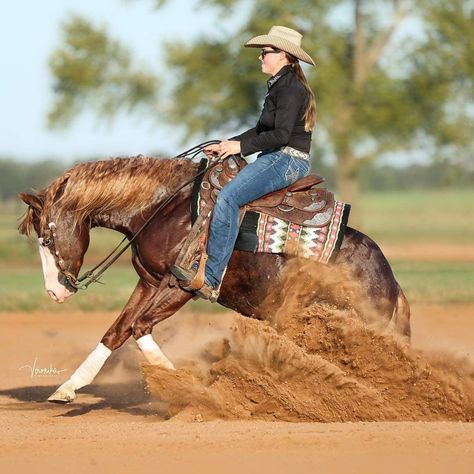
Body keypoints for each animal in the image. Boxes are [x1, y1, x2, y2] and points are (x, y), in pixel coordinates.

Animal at [19, 156, 412, 404]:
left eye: (46, 239)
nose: (54, 291)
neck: (163, 209)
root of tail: (391, 283)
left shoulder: (180, 286)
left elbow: (139, 328)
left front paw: (185, 387)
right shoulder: (149, 281)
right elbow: (117, 332)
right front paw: (68, 388)